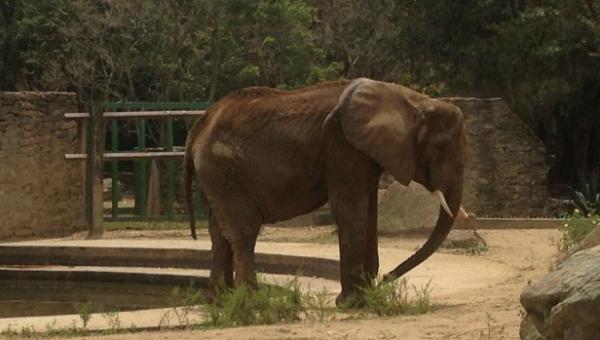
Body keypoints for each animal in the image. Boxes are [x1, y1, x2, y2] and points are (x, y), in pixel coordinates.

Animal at [185, 77, 466, 306]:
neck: (409, 99)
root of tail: (199, 125)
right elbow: (349, 208)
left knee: (220, 233)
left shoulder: (364, 153)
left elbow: (369, 211)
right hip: (221, 169)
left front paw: (365, 297)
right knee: (244, 231)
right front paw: (353, 303)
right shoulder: (341, 143)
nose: (387, 278)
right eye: (441, 147)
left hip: (216, 174)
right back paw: (251, 302)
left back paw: (219, 301)